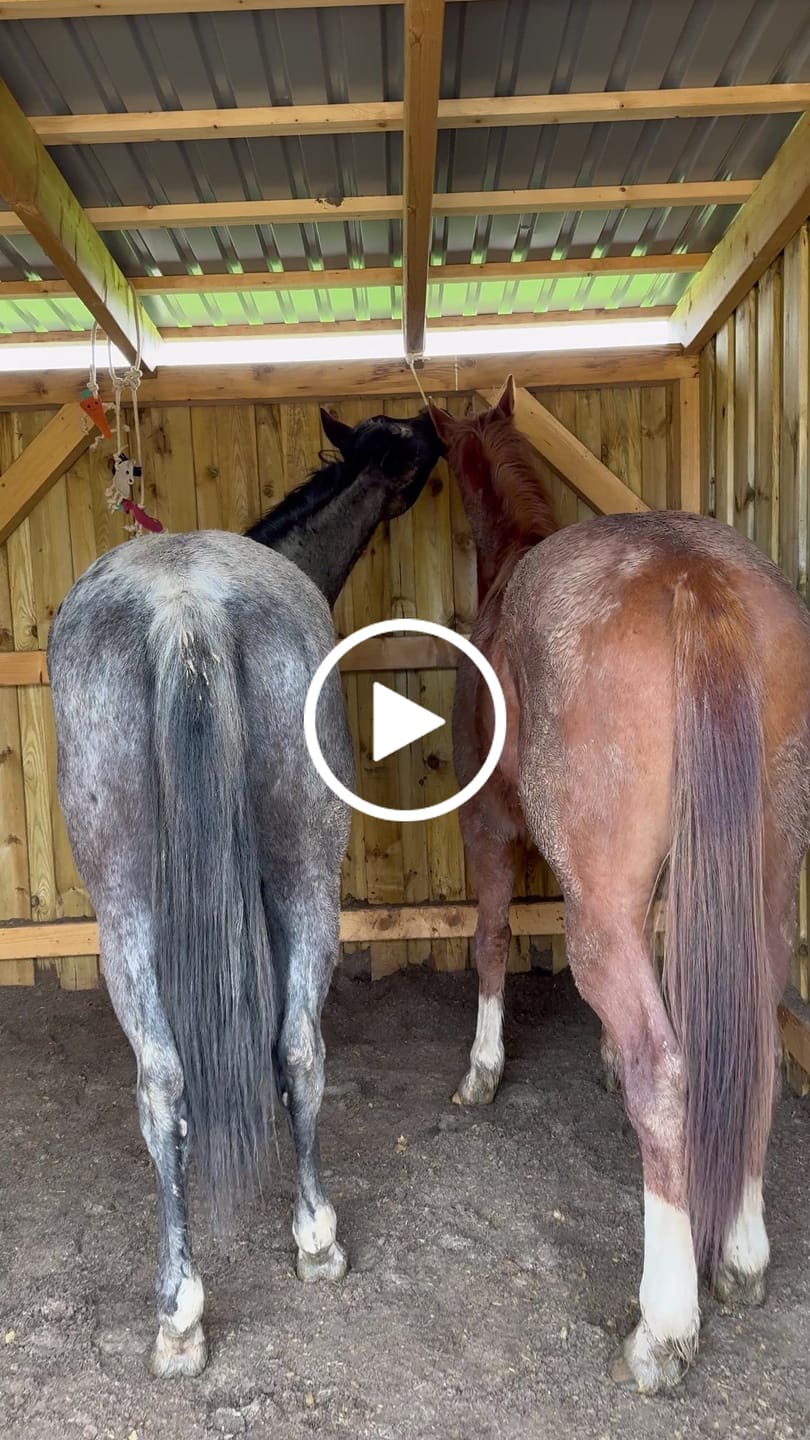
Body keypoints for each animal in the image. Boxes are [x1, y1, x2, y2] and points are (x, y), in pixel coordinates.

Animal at [48, 407, 441, 1378]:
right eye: (401, 447)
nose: (434, 426)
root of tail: (184, 607)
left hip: (139, 912)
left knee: (187, 1078)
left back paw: (200, 1299)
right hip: (278, 883)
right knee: (276, 1054)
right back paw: (291, 1252)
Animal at [428, 379, 810, 1393]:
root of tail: (694, 578)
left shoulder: (489, 835)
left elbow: (489, 941)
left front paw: (482, 1070)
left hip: (597, 908)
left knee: (668, 1071)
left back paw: (664, 1328)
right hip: (764, 884)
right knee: (748, 1044)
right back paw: (742, 1256)